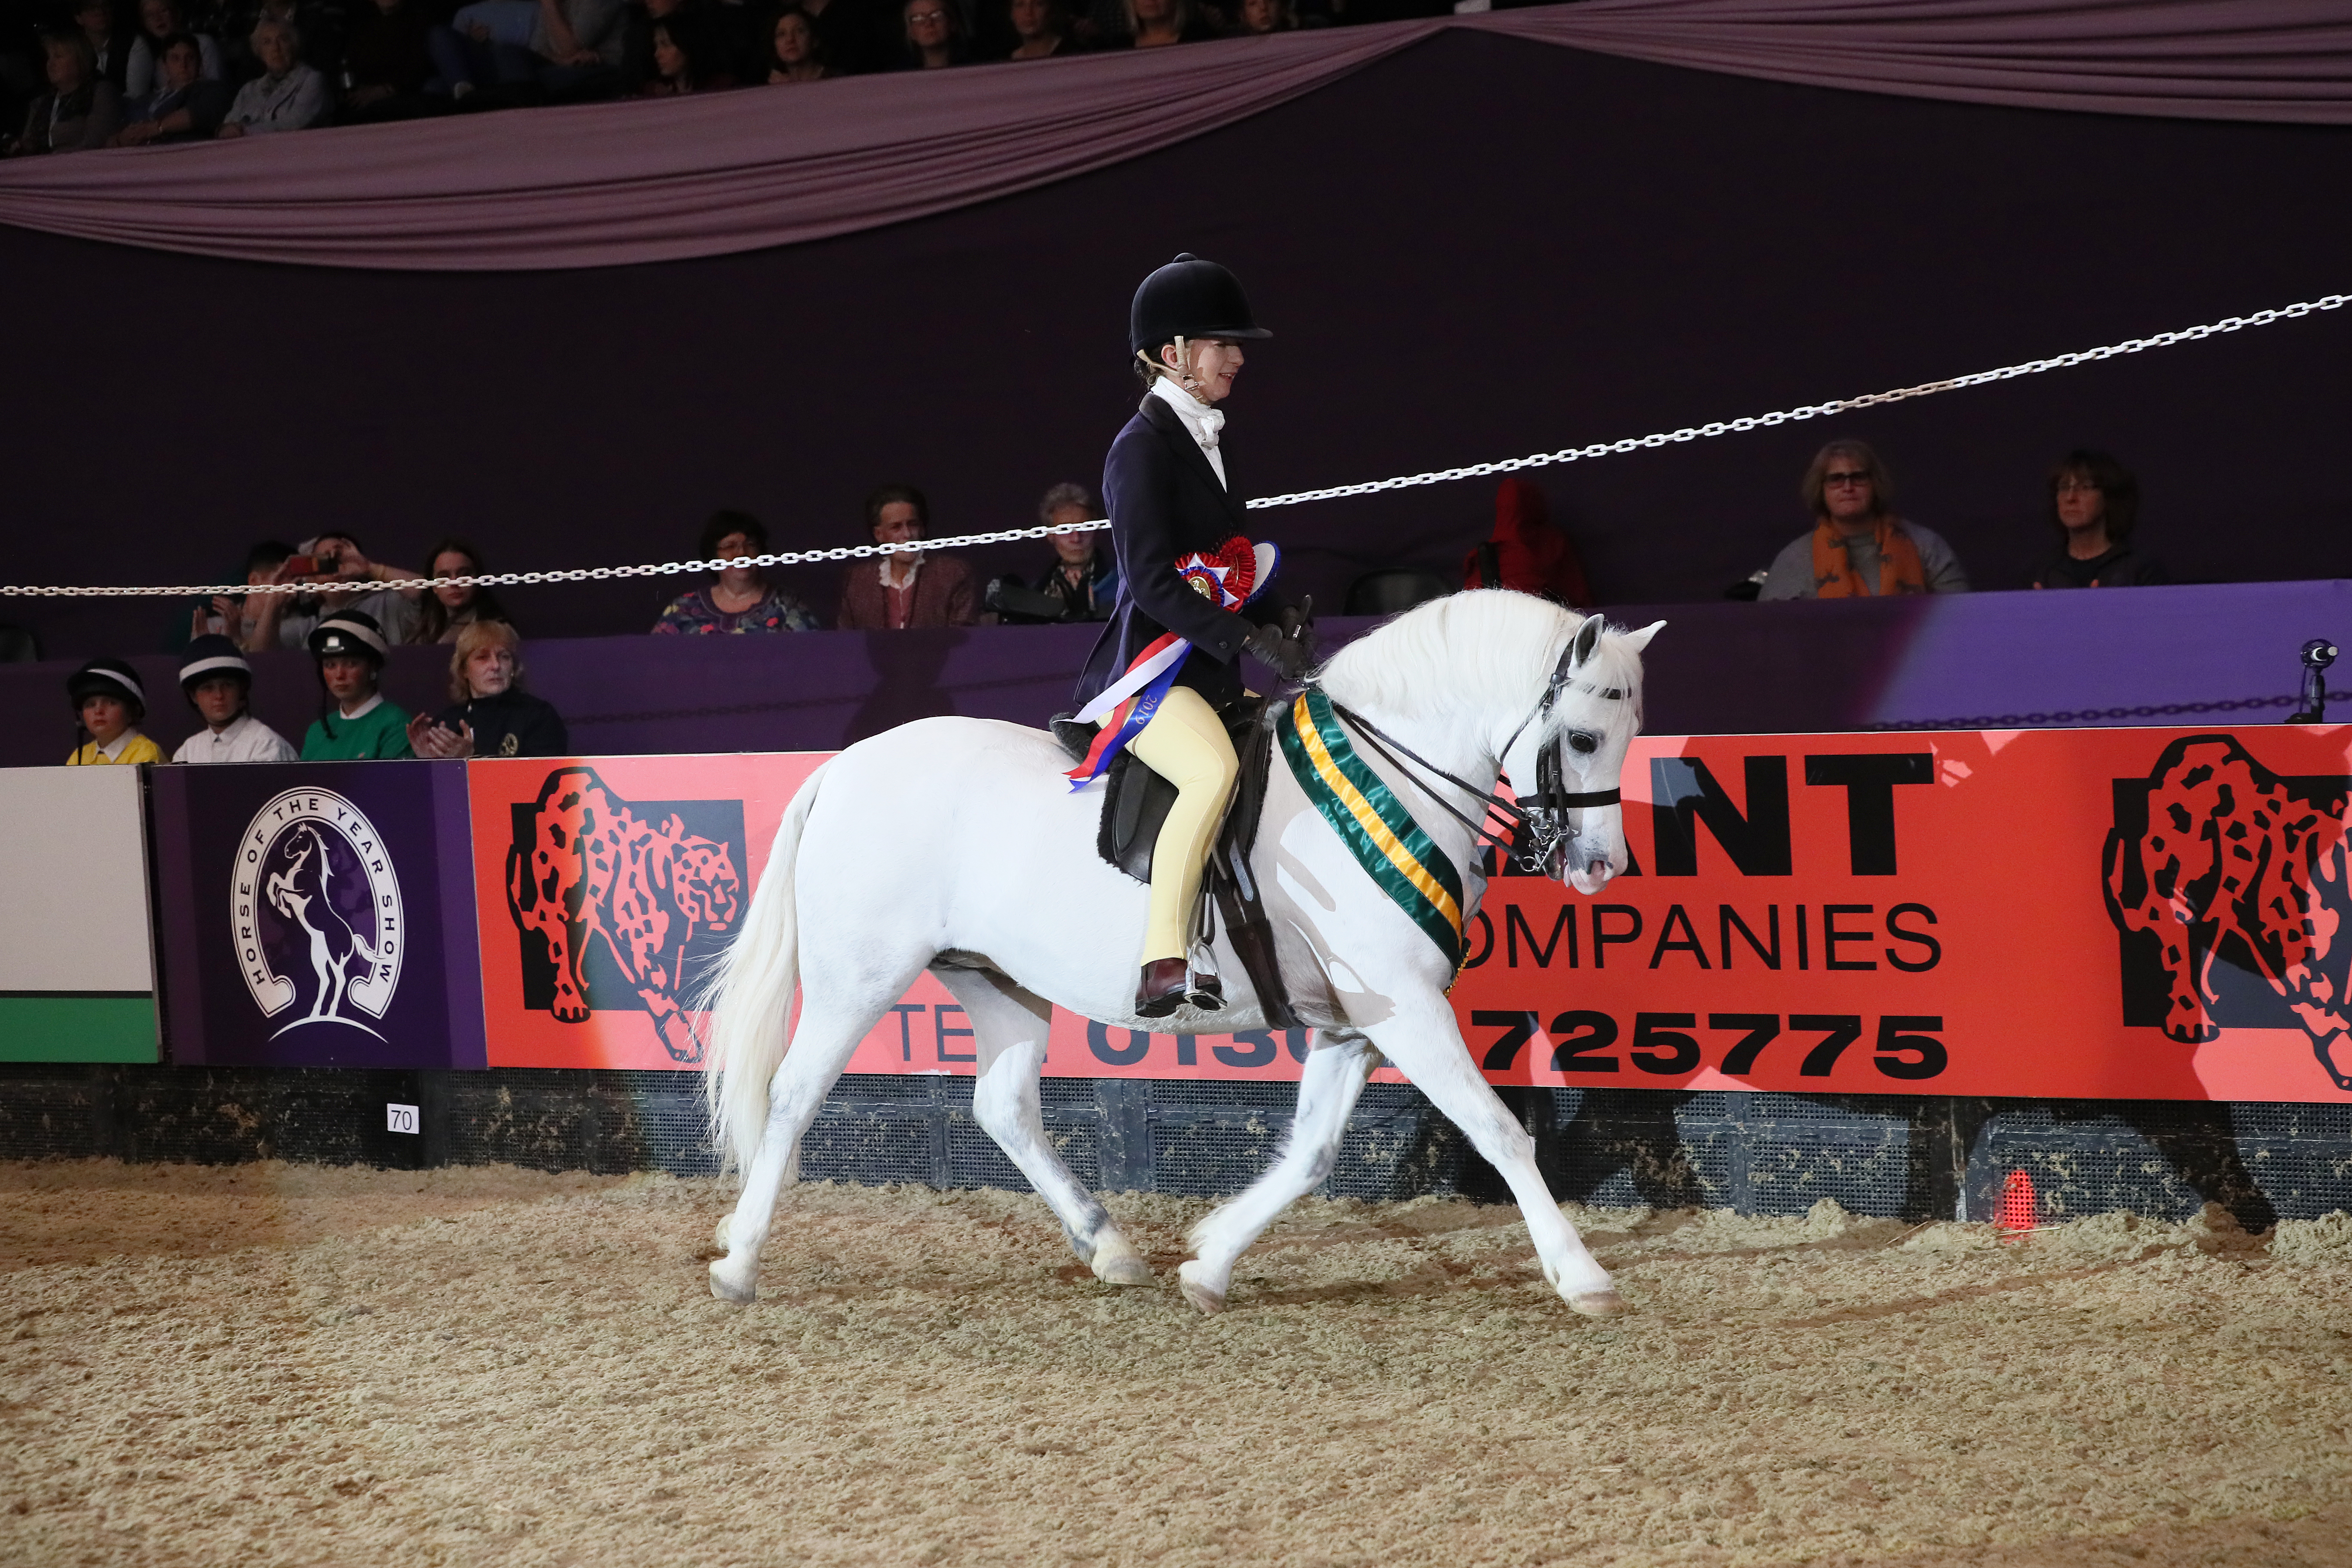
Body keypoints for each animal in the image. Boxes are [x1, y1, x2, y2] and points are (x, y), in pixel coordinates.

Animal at [705, 594, 1665, 1316]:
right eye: (1585, 737)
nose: (1600, 867)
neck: (1384, 781)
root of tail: (845, 766)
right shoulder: (1403, 1006)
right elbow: (1499, 1130)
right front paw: (1582, 1274)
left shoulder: (1355, 1023)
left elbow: (1313, 1152)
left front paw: (1208, 1263)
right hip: (857, 978)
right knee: (793, 1094)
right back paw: (739, 1263)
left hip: (997, 981)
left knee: (1004, 1107)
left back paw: (1109, 1248)